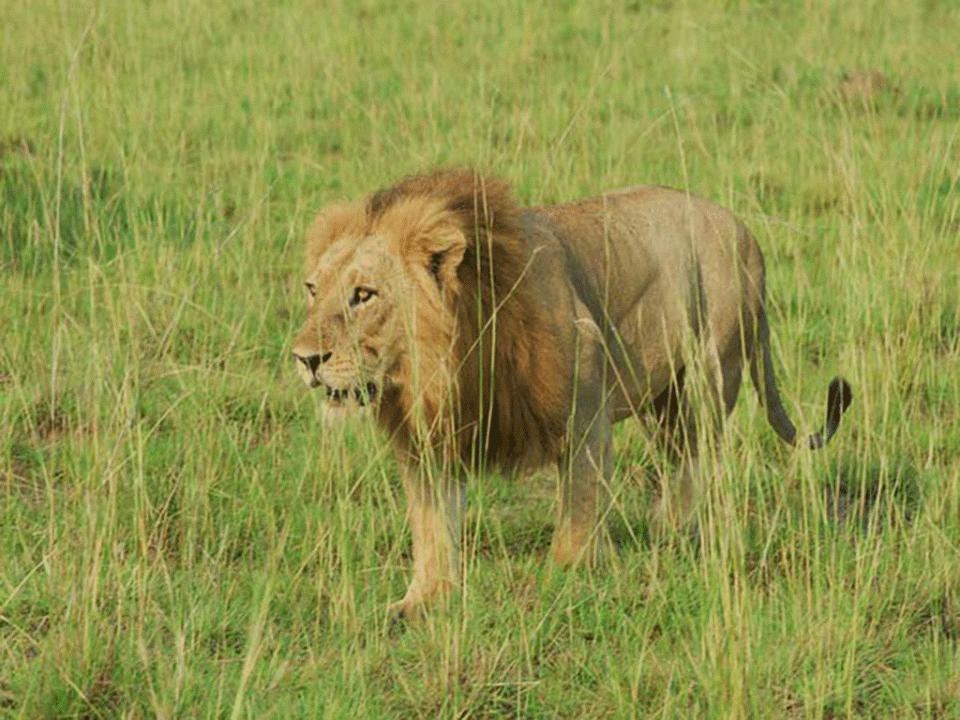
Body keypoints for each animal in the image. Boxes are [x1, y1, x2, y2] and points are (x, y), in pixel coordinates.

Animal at [292, 168, 852, 618]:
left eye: (364, 295)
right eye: (313, 289)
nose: (304, 359)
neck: (443, 365)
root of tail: (745, 232)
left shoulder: (586, 411)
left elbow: (579, 504)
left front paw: (569, 578)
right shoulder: (429, 439)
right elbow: (432, 526)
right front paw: (421, 601)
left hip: (710, 375)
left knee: (698, 459)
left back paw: (673, 535)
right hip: (664, 400)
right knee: (679, 459)